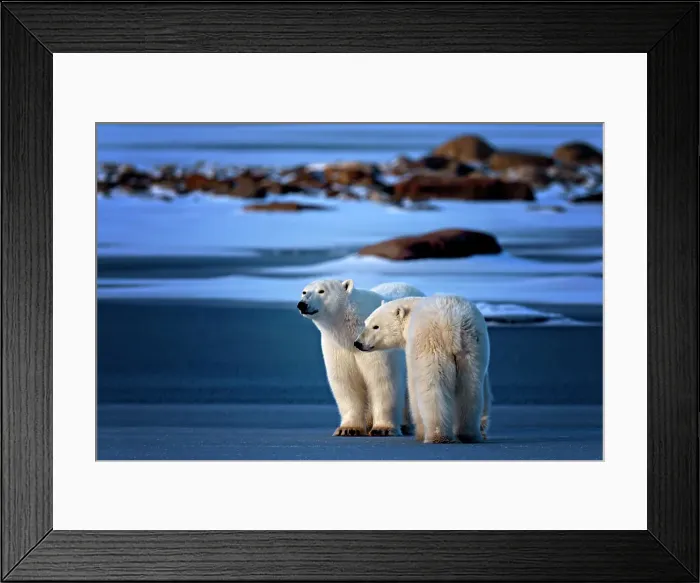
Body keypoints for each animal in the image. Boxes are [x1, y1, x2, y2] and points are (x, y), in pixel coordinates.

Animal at [297, 279, 425, 437]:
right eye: (304, 292)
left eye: (322, 291)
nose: (302, 304)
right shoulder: (338, 348)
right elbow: (346, 381)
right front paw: (348, 429)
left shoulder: (377, 343)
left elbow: (382, 379)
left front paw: (383, 429)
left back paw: (406, 425)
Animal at [354, 295, 492, 444]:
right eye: (366, 323)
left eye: (376, 326)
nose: (358, 343)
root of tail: (452, 323)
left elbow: (414, 388)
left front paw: (420, 433)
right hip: (472, 346)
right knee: (470, 388)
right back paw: (468, 434)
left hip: (433, 342)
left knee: (433, 387)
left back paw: (438, 435)